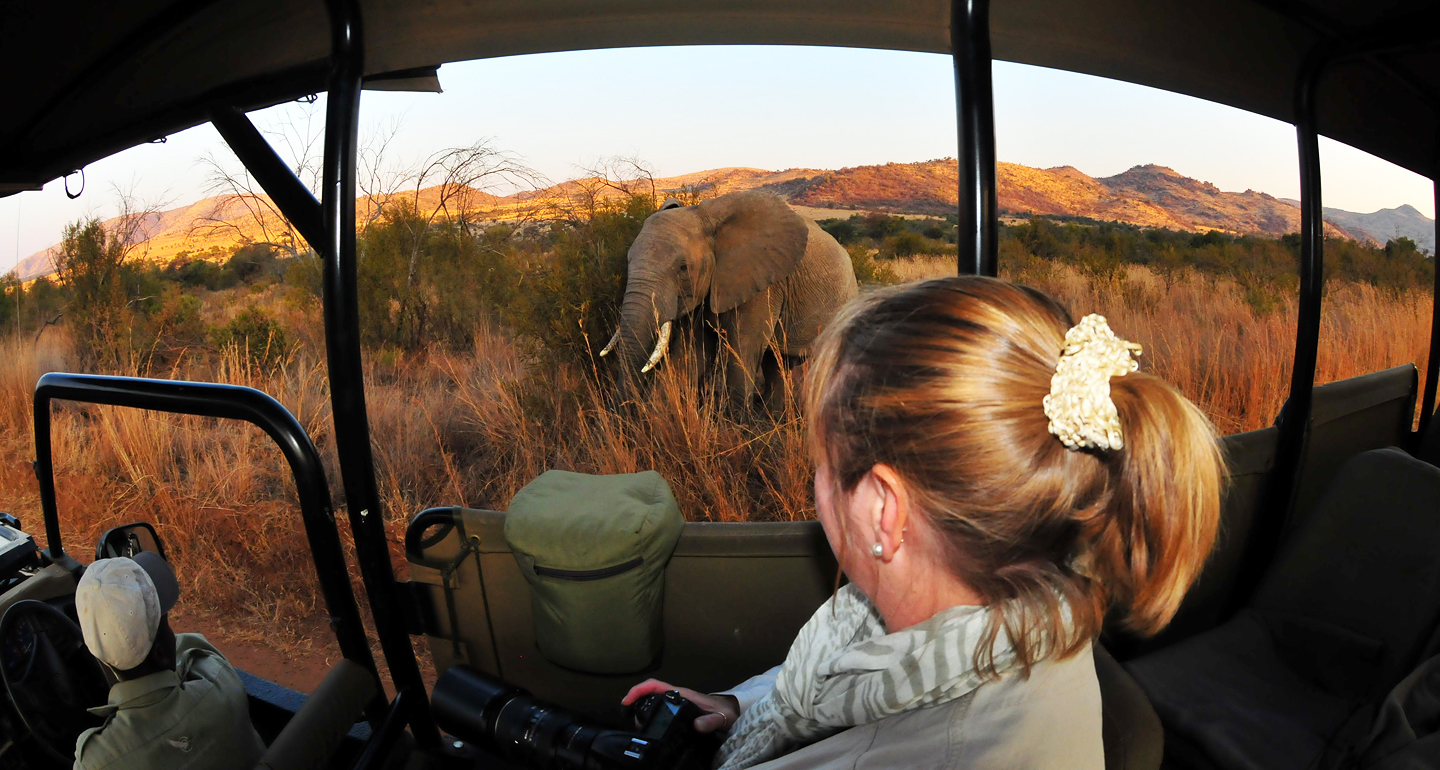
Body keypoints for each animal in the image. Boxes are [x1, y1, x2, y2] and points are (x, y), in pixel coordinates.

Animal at [599, 190, 859, 407]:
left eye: (683, 268)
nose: (622, 410)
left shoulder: (763, 283)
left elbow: (741, 352)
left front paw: (737, 428)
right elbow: (692, 354)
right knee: (776, 362)